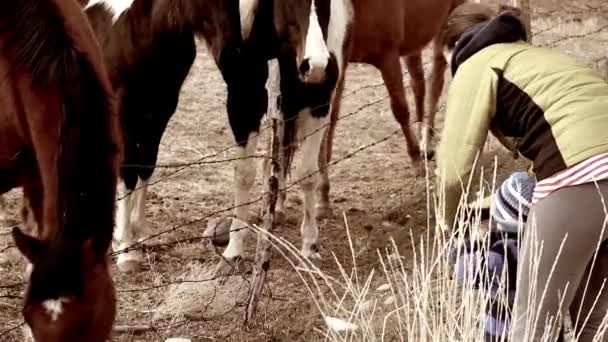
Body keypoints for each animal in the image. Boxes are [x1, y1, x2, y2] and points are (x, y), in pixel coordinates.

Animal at [78, 0, 196, 272]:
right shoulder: (123, 113)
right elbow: (128, 170)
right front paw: (125, 248)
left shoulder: (160, 112)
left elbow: (146, 166)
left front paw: (139, 232)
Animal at [150, 0, 354, 268]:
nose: (317, 67)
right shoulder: (243, 102)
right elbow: (244, 174)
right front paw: (234, 249)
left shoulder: (318, 102)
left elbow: (307, 174)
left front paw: (310, 247)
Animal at [314, 0, 466, 218]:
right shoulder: (339, 65)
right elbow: (330, 123)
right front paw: (323, 198)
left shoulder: (388, 55)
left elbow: (400, 109)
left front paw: (416, 161)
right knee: (419, 82)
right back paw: (424, 144)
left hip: (450, 18)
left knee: (435, 79)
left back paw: (426, 142)